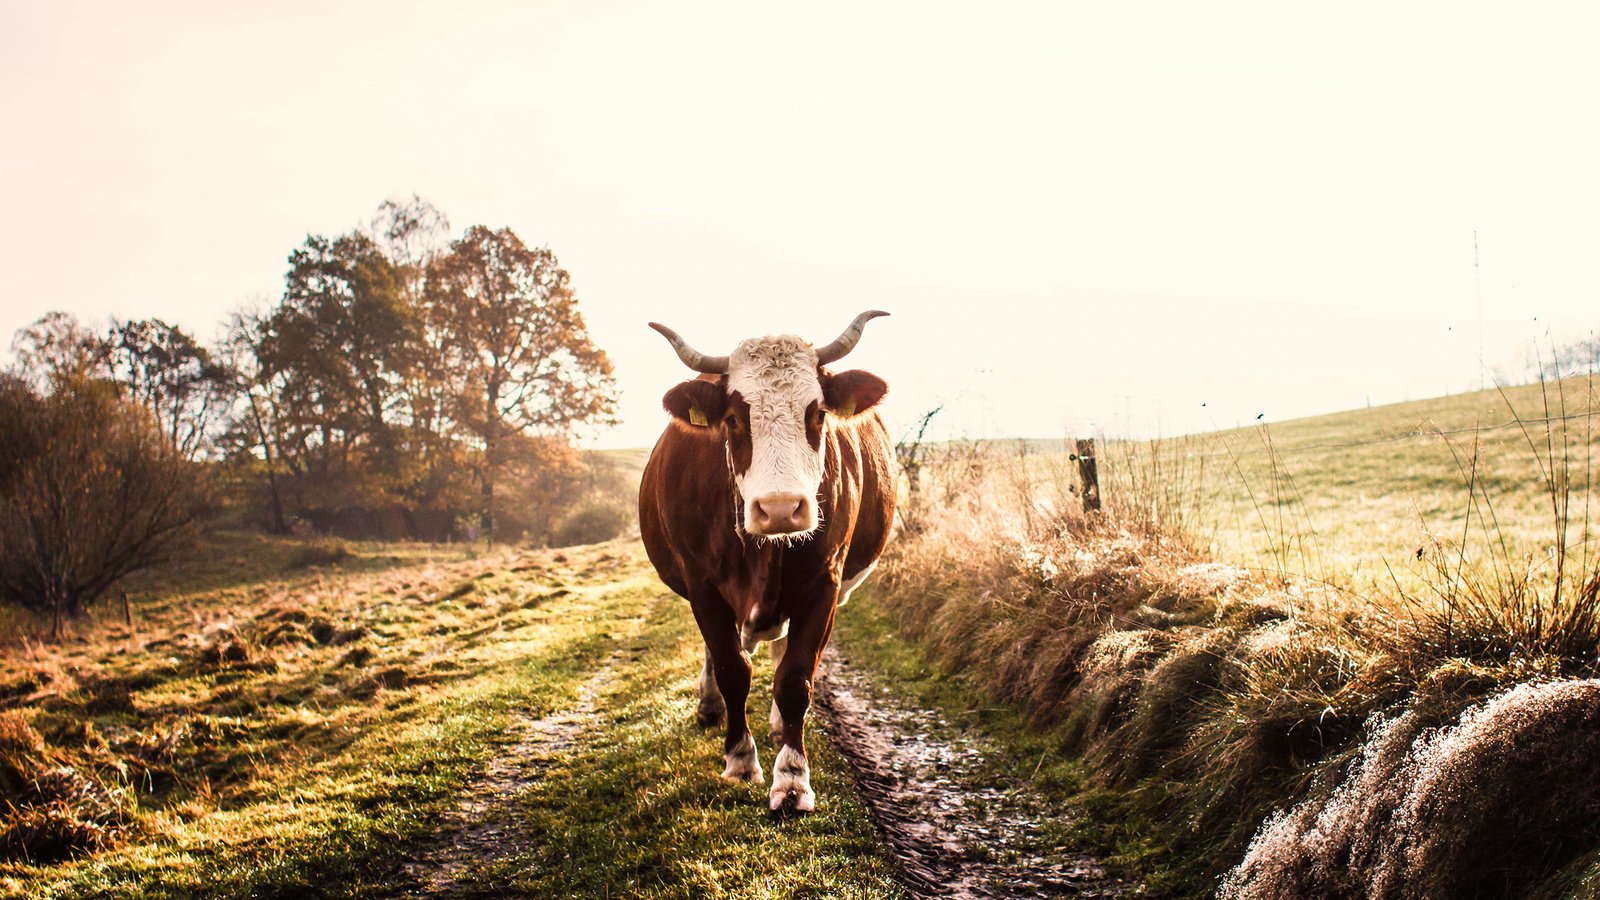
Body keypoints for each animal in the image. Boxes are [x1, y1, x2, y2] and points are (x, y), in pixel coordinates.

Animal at [640, 310, 902, 813]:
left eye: (817, 413)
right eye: (733, 418)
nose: (780, 507)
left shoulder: (825, 584)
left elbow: (795, 678)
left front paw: (793, 777)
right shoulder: (701, 585)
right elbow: (732, 668)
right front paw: (741, 759)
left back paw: (780, 725)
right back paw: (710, 707)